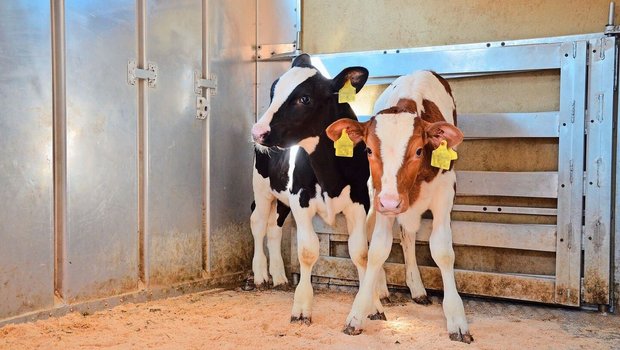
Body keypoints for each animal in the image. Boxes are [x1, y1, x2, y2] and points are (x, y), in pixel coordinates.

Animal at [249, 54, 386, 322]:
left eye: (304, 98)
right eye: (273, 90)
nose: (258, 131)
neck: (329, 172)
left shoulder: (360, 203)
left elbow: (360, 253)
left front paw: (371, 305)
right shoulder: (301, 200)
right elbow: (307, 251)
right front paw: (302, 307)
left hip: (282, 198)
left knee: (273, 229)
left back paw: (279, 276)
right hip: (261, 188)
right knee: (258, 224)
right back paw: (260, 274)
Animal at [326, 70, 472, 342]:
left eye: (418, 150)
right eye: (368, 149)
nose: (392, 202)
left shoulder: (446, 192)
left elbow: (443, 252)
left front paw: (457, 319)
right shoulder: (381, 197)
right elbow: (378, 249)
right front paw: (359, 312)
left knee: (408, 236)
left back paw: (416, 288)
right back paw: (383, 288)